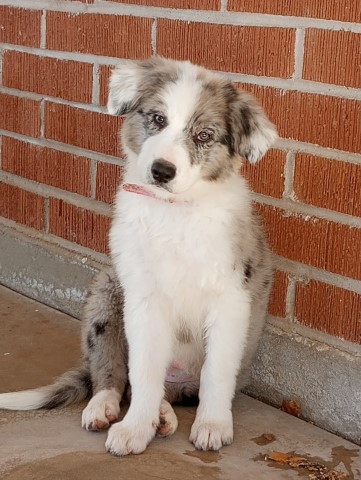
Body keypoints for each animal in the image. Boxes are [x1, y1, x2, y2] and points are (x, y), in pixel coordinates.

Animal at [0, 58, 278, 456]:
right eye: (158, 119)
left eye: (204, 136)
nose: (161, 171)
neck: (174, 210)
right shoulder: (144, 298)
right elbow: (143, 369)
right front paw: (134, 429)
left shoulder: (231, 299)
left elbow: (217, 371)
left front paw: (212, 425)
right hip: (105, 292)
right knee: (115, 375)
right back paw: (105, 407)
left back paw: (164, 414)